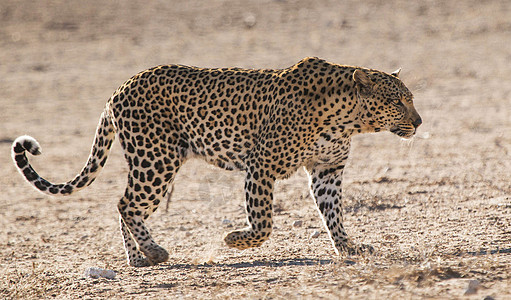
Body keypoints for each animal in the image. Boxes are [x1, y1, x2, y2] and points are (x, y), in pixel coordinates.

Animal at [12, 56, 422, 268]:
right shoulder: (261, 164)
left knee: (123, 203)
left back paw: (138, 259)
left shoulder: (327, 170)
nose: (419, 122)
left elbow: (333, 213)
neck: (347, 119)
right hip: (156, 159)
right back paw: (154, 251)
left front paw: (347, 248)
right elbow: (264, 222)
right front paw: (235, 240)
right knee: (127, 203)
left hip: (149, 160)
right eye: (397, 101)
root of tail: (118, 89)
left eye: (411, 99)